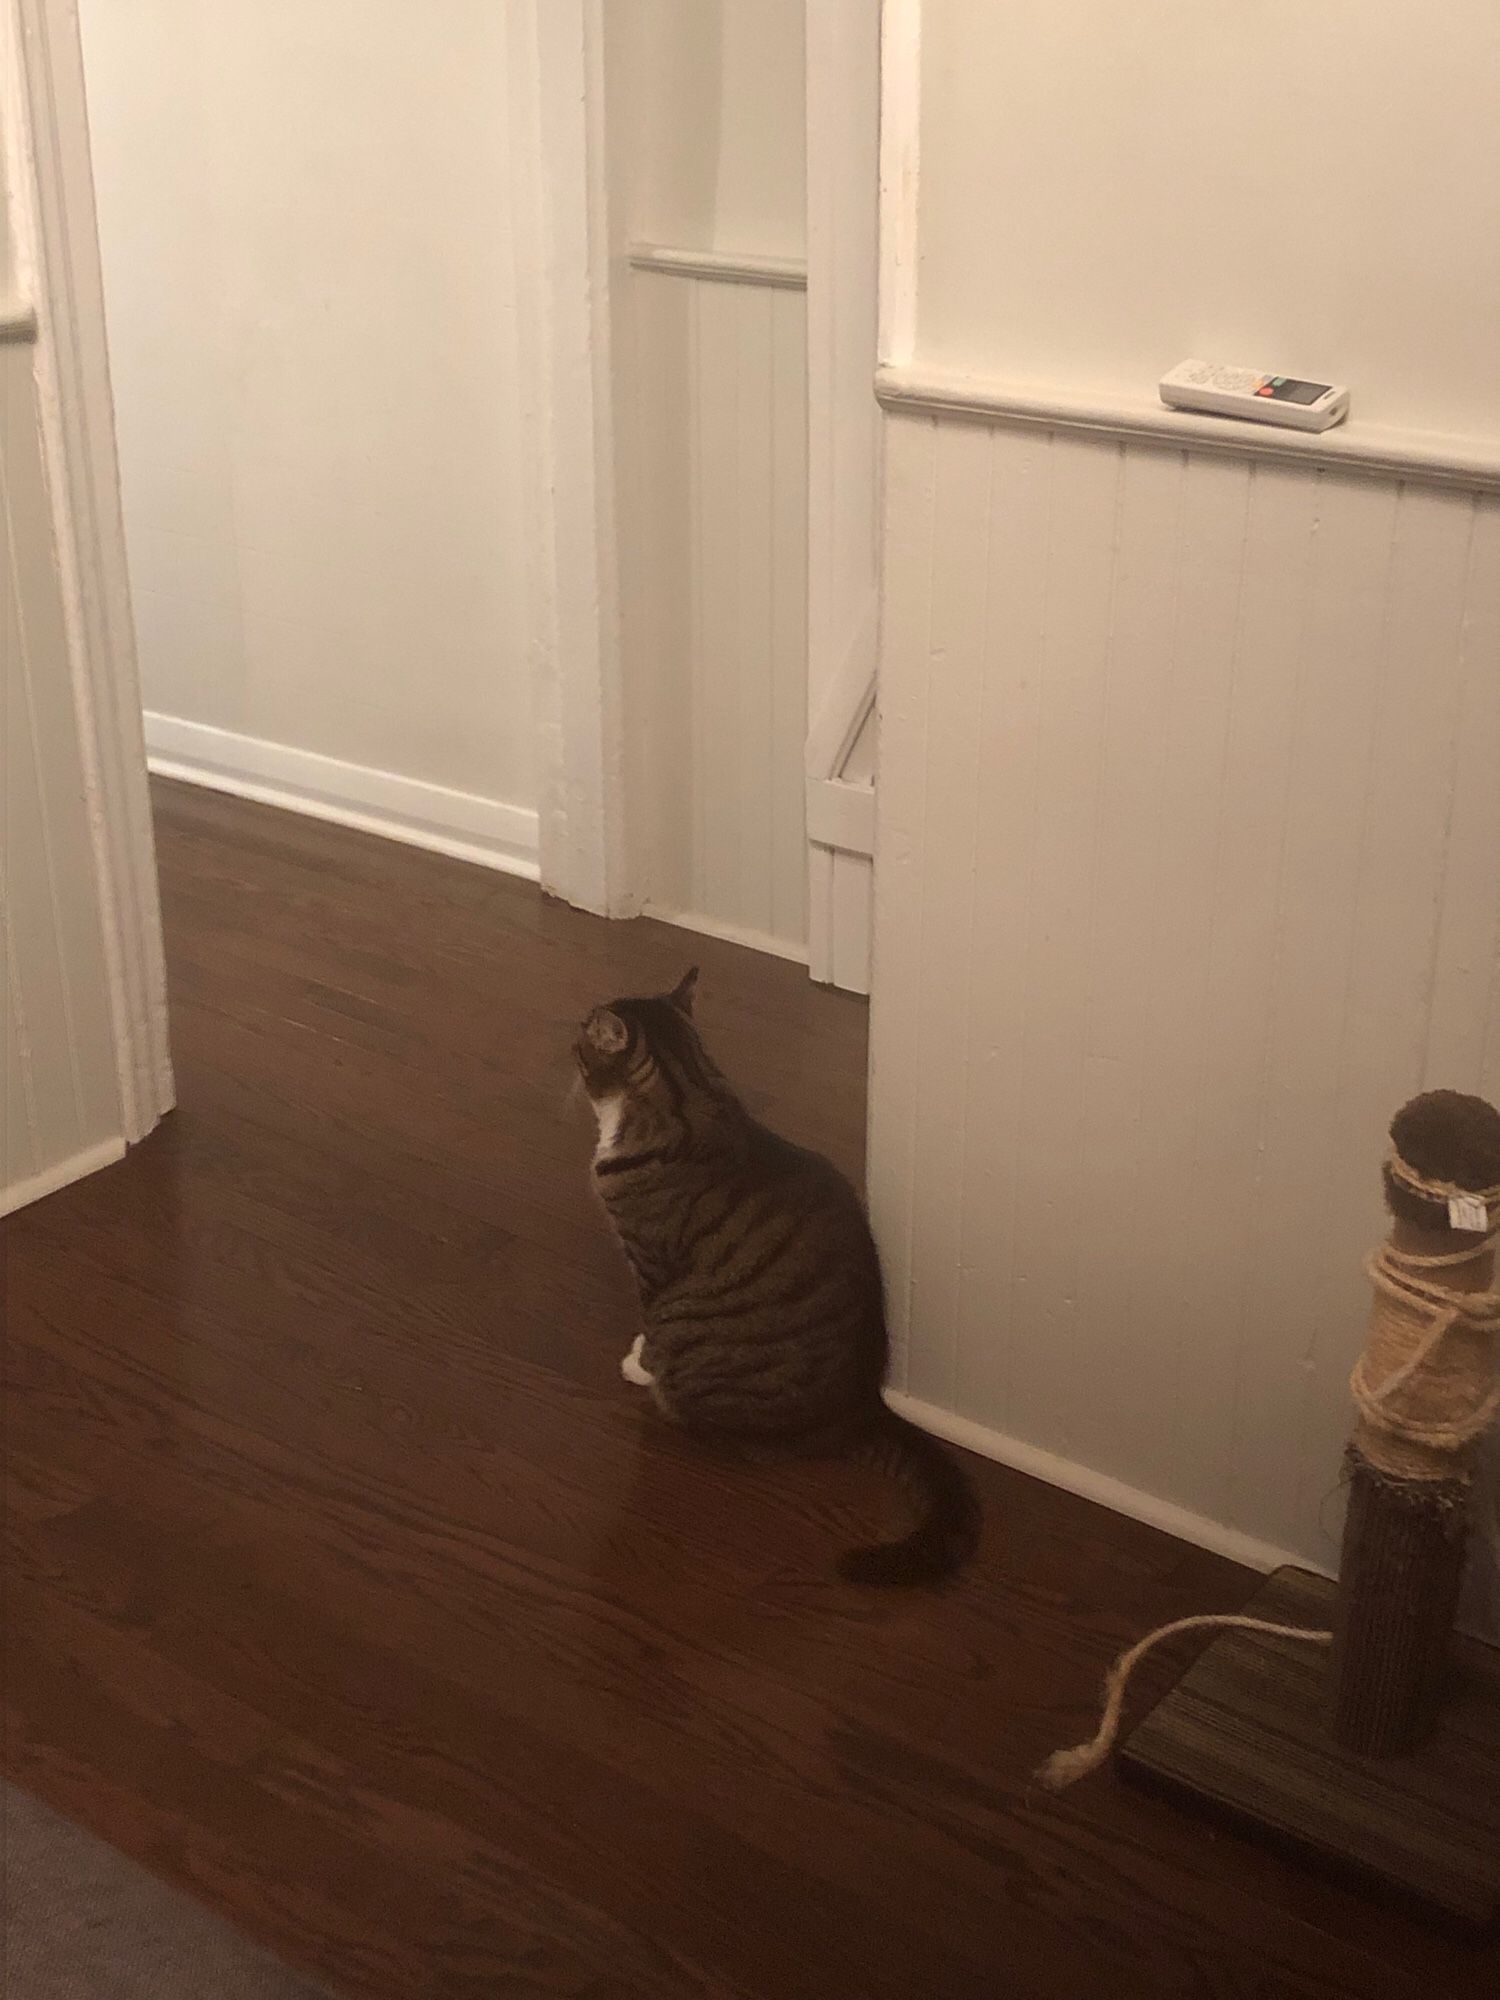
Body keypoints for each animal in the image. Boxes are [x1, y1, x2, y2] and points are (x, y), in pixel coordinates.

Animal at [580, 960, 988, 1584]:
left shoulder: (648, 1263)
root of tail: (862, 1406)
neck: (685, 1097)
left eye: (581, 1041)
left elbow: (651, 1326)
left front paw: (638, 1363)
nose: (567, 1039)